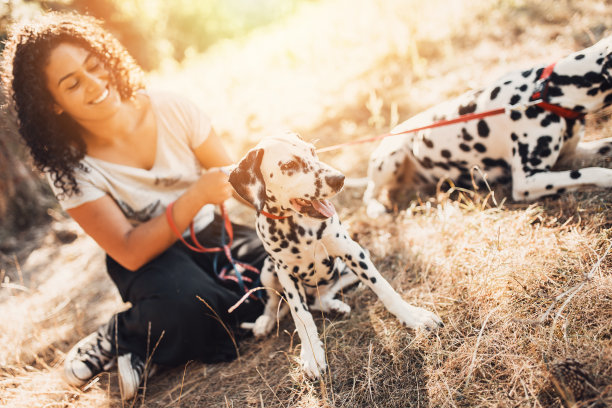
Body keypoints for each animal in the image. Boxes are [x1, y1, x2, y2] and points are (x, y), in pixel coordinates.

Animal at [227, 134, 442, 380]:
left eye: (313, 151)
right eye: (289, 165)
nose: (339, 178)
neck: (298, 227)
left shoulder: (352, 251)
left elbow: (384, 288)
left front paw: (413, 316)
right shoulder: (286, 274)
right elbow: (301, 315)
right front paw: (312, 353)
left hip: (352, 264)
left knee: (322, 297)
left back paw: (334, 306)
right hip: (268, 270)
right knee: (275, 301)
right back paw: (265, 321)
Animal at [366, 35, 608, 217]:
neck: (547, 92)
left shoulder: (571, 153)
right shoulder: (527, 181)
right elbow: (594, 172)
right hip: (391, 157)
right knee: (370, 191)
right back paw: (375, 208)